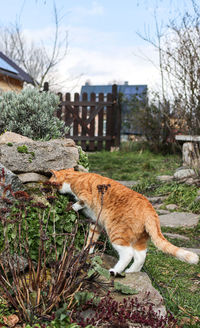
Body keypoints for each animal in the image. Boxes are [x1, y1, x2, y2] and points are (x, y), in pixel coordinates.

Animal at [49, 169, 199, 274]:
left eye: (50, 181)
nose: (48, 186)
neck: (76, 177)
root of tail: (149, 208)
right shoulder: (95, 223)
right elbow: (91, 239)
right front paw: (87, 251)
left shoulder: (85, 197)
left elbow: (79, 203)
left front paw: (71, 207)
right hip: (140, 239)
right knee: (141, 256)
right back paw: (132, 271)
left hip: (117, 233)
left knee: (128, 254)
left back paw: (115, 271)